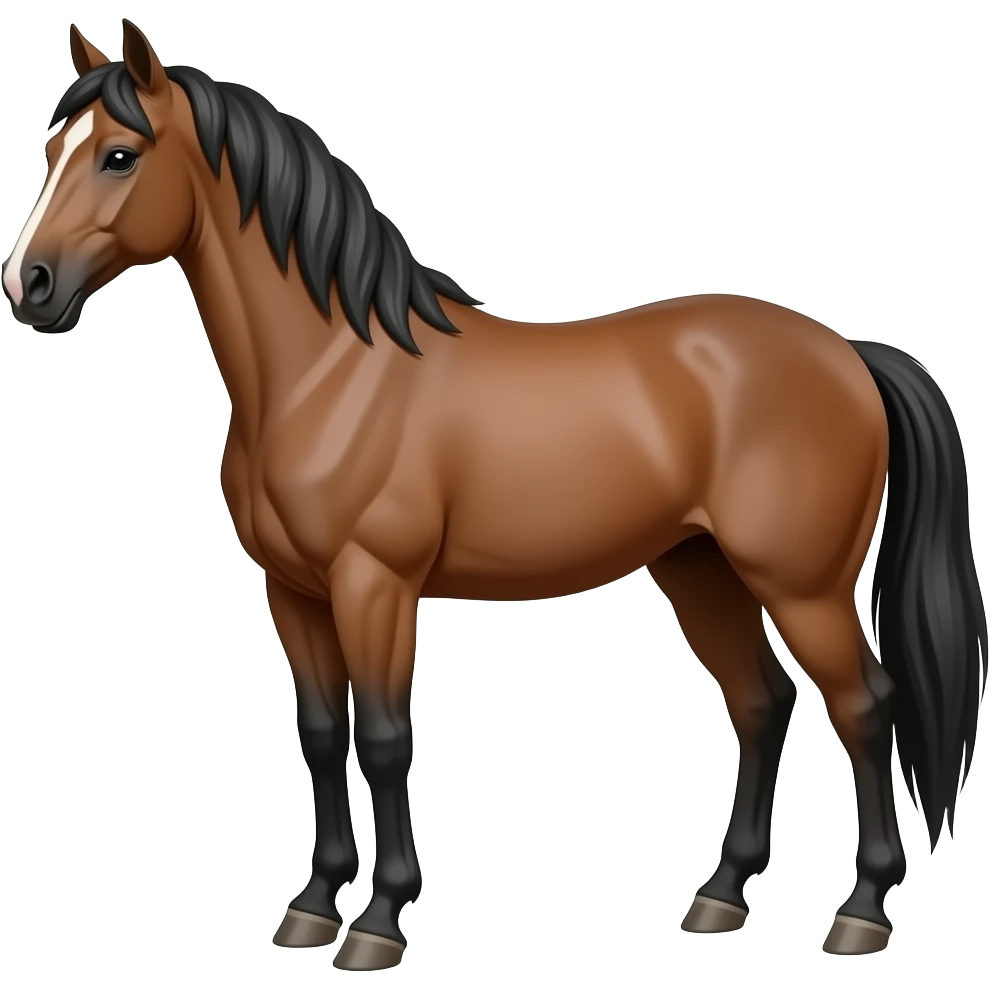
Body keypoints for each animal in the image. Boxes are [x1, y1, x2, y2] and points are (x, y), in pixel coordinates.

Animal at [4, 19, 985, 968]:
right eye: (51, 148)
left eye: (119, 155)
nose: (29, 286)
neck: (332, 371)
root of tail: (848, 353)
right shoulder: (293, 591)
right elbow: (321, 735)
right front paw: (313, 909)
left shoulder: (375, 585)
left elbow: (384, 738)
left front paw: (379, 923)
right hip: (699, 568)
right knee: (761, 702)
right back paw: (720, 896)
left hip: (802, 585)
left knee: (865, 707)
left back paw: (861, 914)